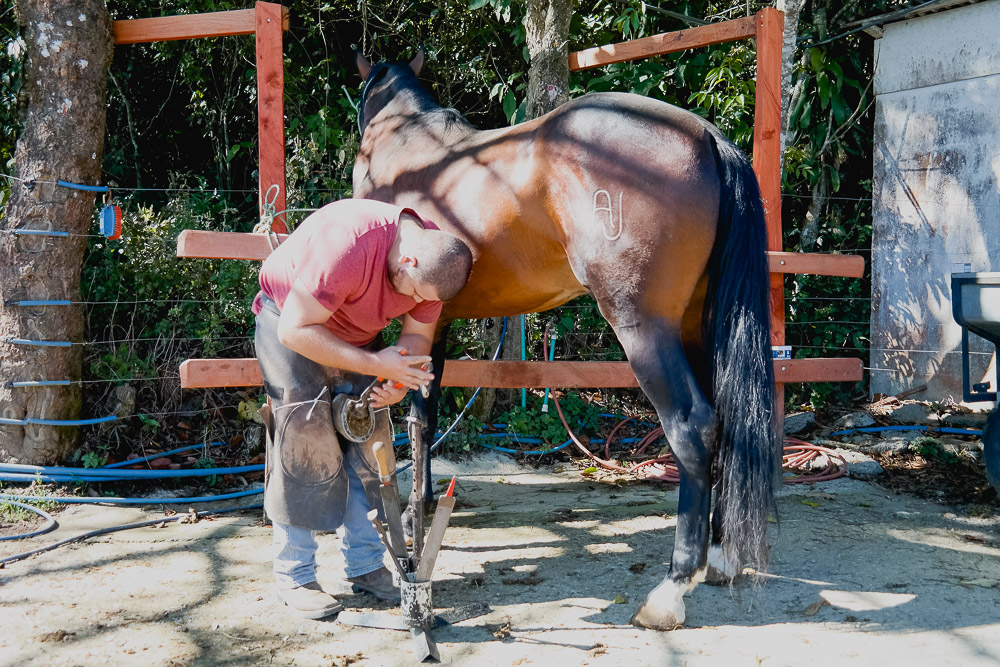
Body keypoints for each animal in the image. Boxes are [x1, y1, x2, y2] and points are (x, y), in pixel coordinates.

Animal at [353, 50, 780, 630]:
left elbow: (412, 416)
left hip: (644, 328)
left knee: (694, 429)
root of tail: (706, 135)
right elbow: (426, 415)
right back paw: (719, 558)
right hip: (696, 325)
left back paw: (670, 591)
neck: (403, 143)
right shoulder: (435, 322)